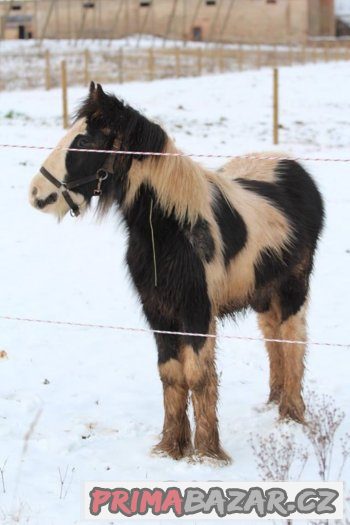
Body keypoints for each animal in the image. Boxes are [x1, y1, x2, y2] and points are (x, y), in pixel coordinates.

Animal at [29, 84, 326, 464]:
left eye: (84, 141)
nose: (37, 194)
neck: (172, 227)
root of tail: (293, 168)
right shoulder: (158, 312)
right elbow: (170, 375)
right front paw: (171, 447)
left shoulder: (197, 312)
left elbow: (198, 376)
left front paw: (208, 453)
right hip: (263, 294)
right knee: (272, 337)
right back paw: (273, 403)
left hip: (293, 288)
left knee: (292, 341)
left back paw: (291, 414)